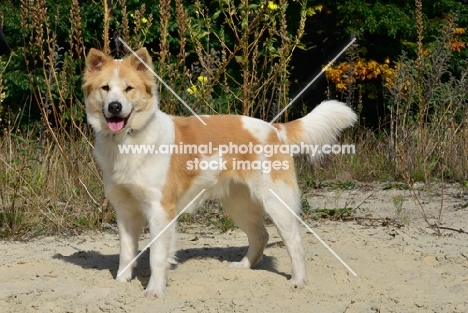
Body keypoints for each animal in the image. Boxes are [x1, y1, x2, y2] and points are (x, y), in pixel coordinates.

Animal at [82, 47, 356, 296]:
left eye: (129, 89)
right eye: (105, 88)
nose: (114, 107)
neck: (128, 142)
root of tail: (275, 128)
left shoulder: (160, 210)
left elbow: (157, 256)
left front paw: (154, 291)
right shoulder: (125, 211)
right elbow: (126, 252)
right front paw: (121, 281)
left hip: (276, 203)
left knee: (294, 242)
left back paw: (298, 281)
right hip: (239, 205)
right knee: (260, 236)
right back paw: (244, 266)